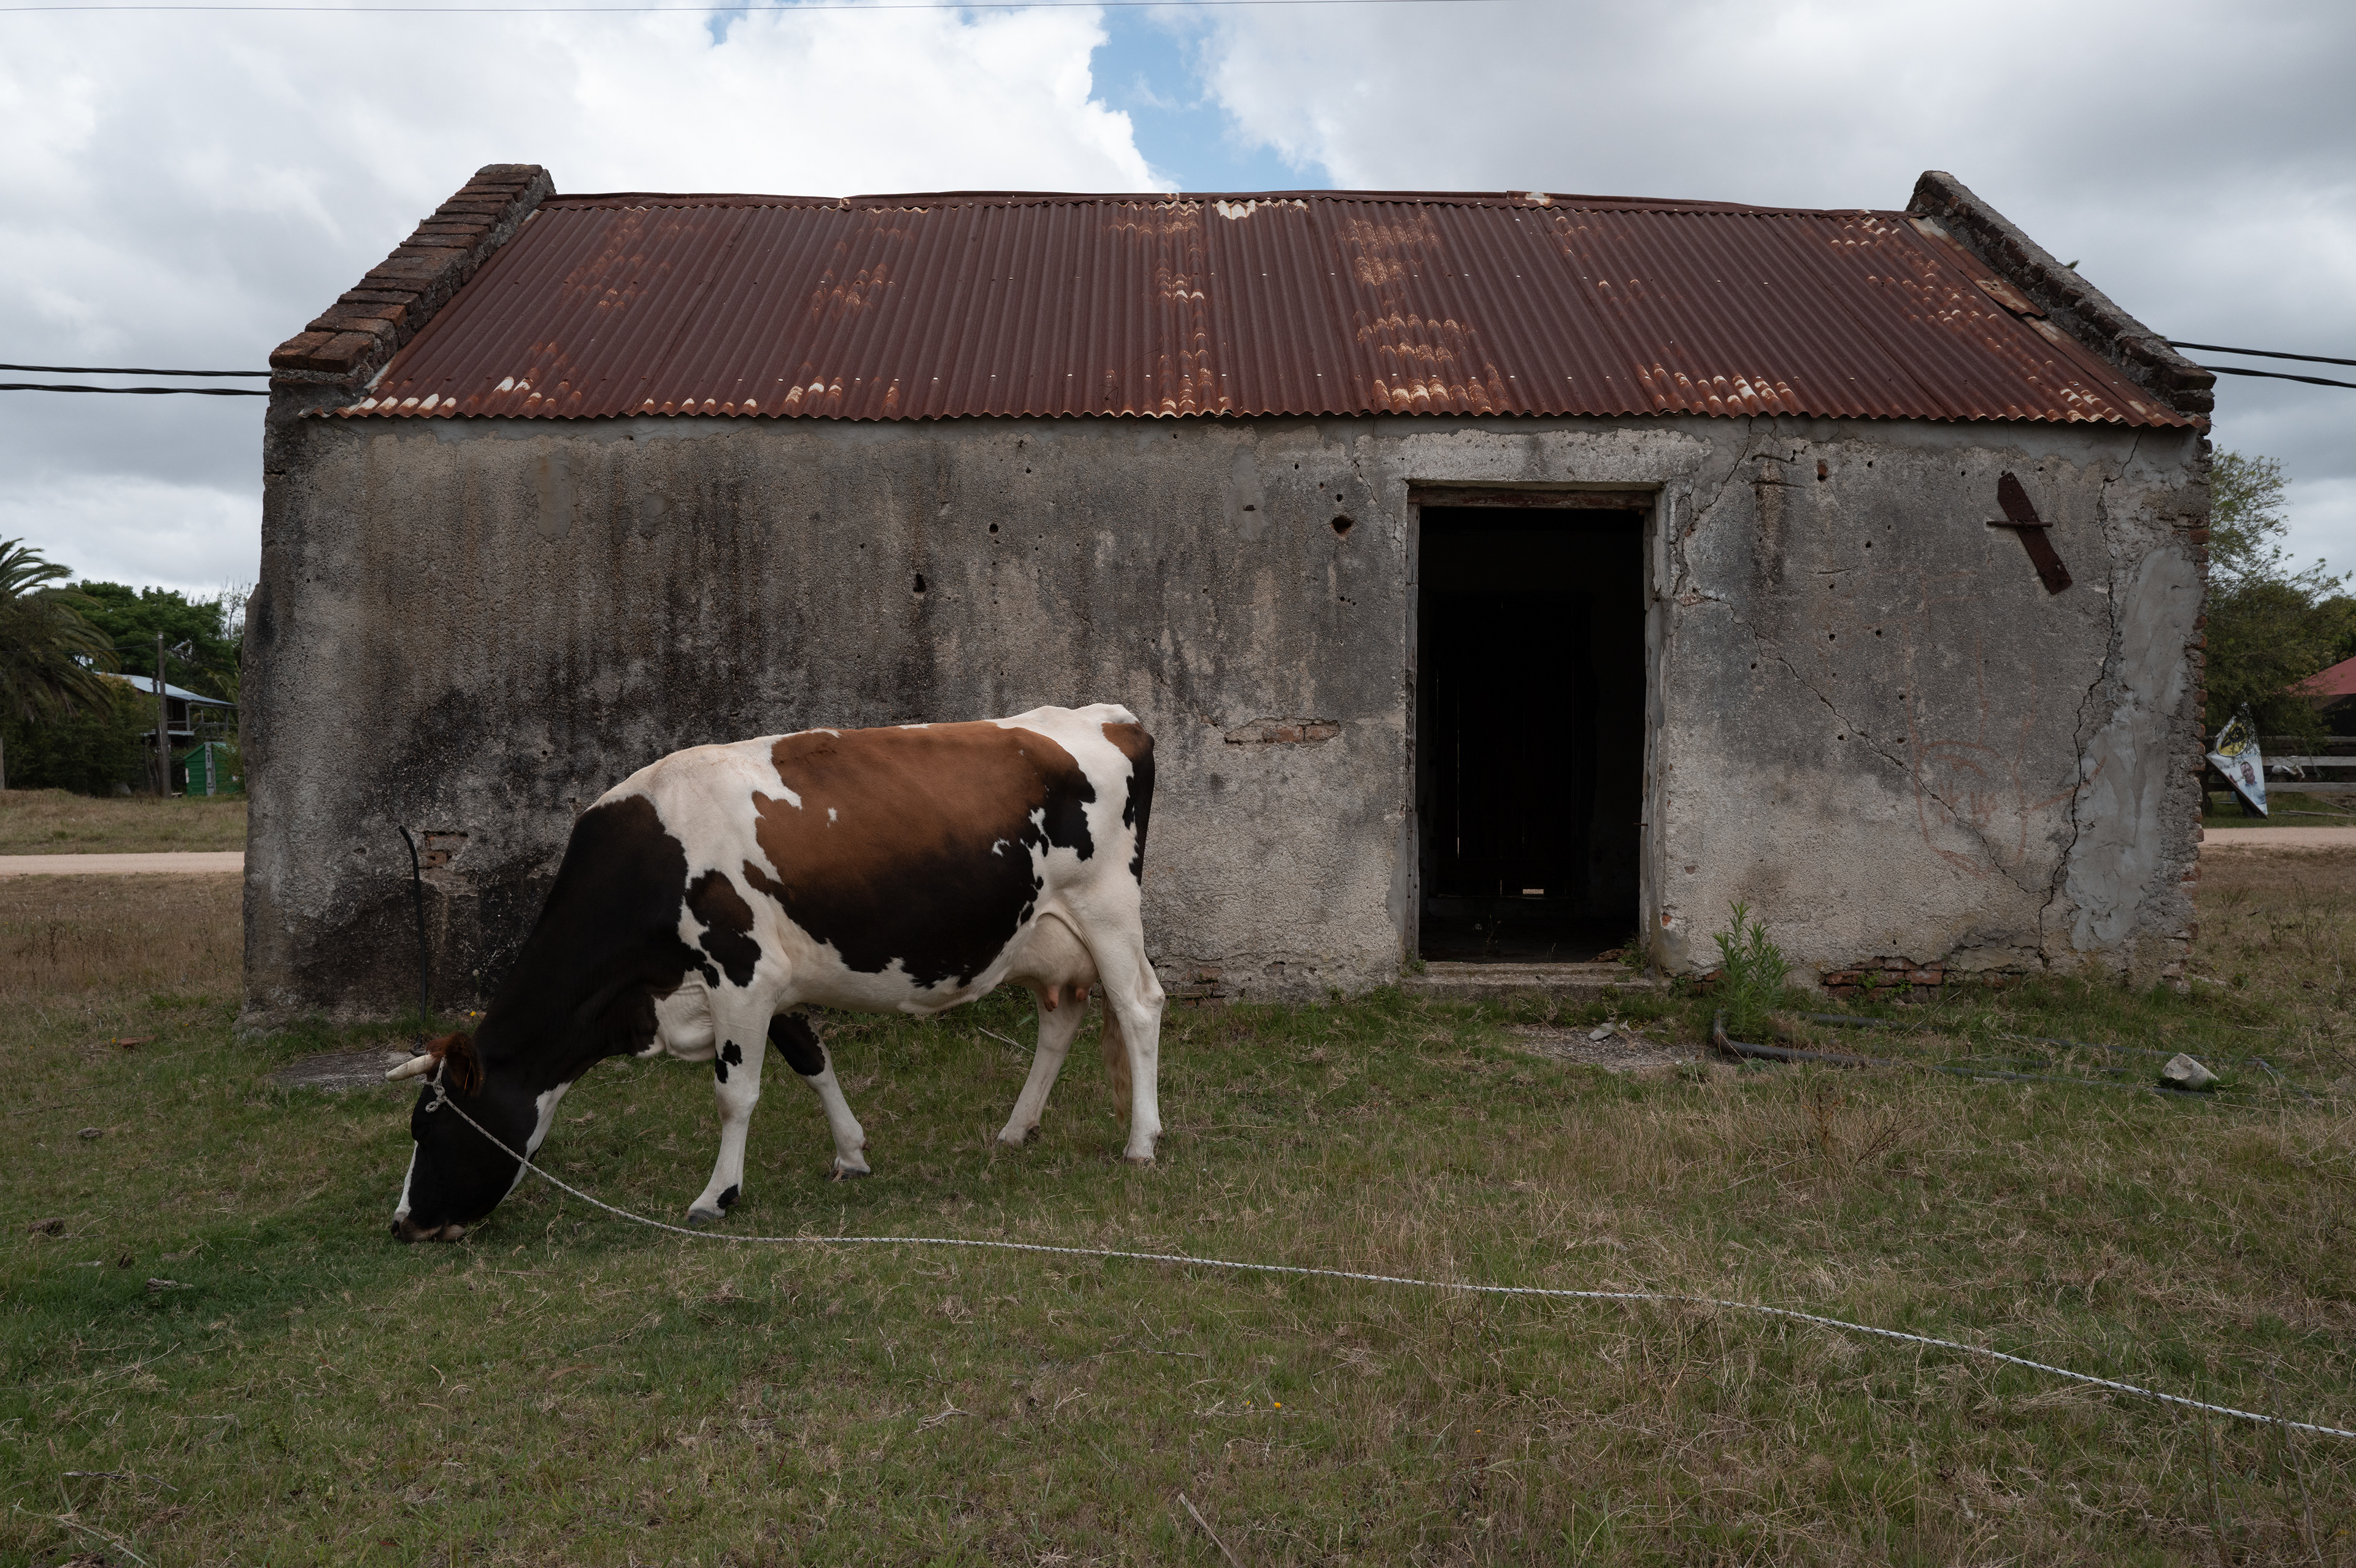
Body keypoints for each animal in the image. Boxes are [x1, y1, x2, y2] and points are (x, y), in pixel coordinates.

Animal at [388, 704, 1162, 1243]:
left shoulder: (740, 971)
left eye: (429, 1127)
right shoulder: (775, 979)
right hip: (1048, 937)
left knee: (1139, 1007)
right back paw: (1016, 1129)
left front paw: (715, 1198)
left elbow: (736, 1094)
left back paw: (1142, 1142)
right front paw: (851, 1153)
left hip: (1108, 910)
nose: (403, 1224)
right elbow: (811, 1061)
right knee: (1062, 1016)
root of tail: (1109, 717)